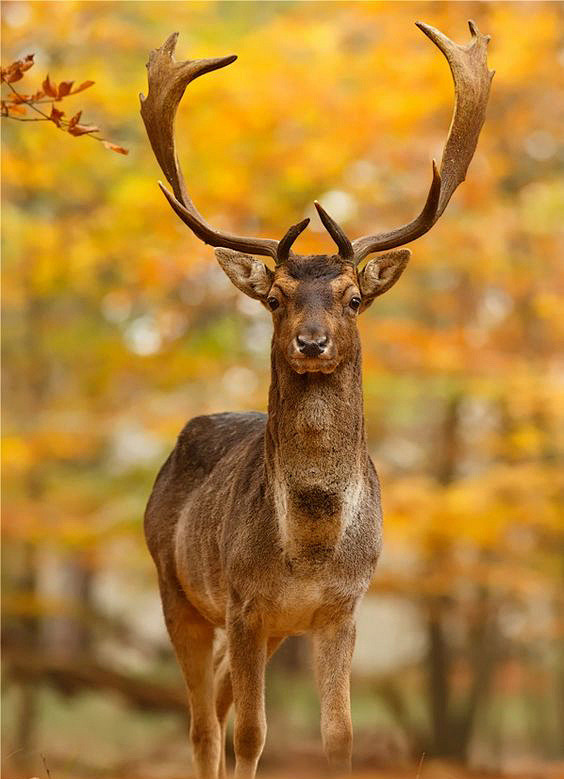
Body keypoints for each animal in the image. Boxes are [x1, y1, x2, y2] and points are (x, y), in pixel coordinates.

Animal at [141, 21, 494, 779]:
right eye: (274, 297)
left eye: (354, 297)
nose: (310, 340)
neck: (311, 546)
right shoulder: (244, 601)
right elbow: (251, 734)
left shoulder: (340, 609)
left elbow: (339, 735)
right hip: (176, 587)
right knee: (205, 725)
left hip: (263, 626)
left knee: (217, 702)